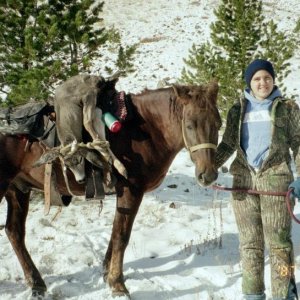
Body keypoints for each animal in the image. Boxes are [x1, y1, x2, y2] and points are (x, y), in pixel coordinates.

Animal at [0, 80, 220, 298]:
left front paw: (107, 274)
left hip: (17, 190)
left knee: (14, 232)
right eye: (189, 125)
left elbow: (115, 234)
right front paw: (118, 284)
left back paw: (36, 283)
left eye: (218, 123)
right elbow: (121, 236)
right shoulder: (131, 191)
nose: (208, 175)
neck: (146, 129)